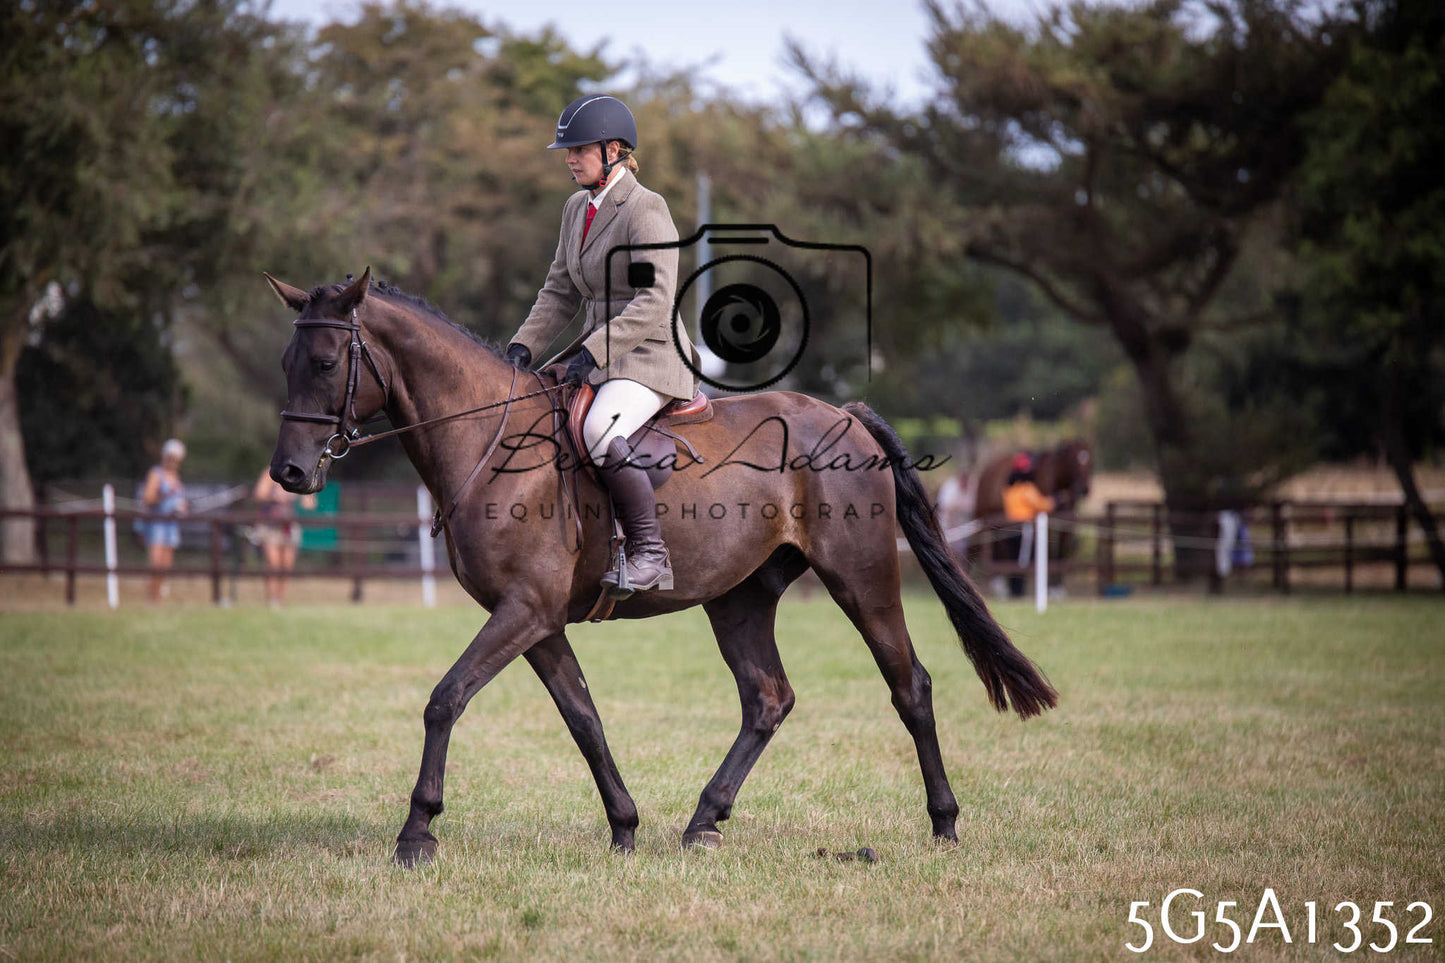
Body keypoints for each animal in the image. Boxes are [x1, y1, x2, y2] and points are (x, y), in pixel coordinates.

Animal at [264, 268, 1058, 865]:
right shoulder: (537, 620)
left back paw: (943, 822)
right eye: (286, 364)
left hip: (861, 582)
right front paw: (623, 826)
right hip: (738, 598)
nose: (290, 473)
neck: (490, 439)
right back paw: (704, 819)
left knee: (909, 686)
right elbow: (583, 716)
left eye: (327, 364)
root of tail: (844, 415)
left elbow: (445, 698)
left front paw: (416, 832)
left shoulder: (523, 609)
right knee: (767, 698)